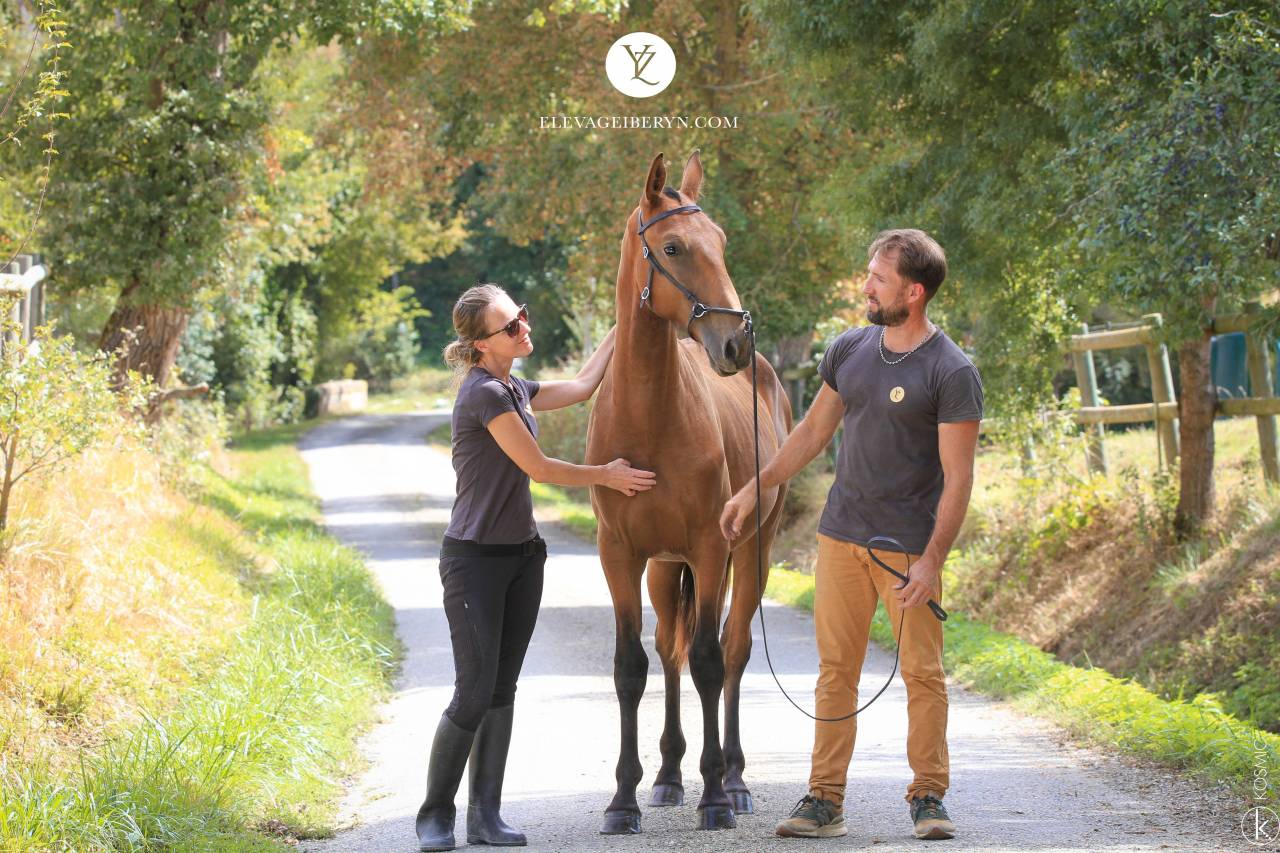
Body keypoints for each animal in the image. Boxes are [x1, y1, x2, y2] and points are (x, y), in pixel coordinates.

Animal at [585, 151, 793, 834]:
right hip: (665, 566)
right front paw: (624, 800)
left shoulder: (709, 546)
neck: (651, 416)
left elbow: (709, 661)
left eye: (721, 243)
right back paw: (670, 776)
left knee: (730, 651)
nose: (736, 343)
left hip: (749, 553)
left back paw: (733, 778)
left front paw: (716, 797)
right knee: (670, 653)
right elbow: (632, 667)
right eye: (673, 247)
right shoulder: (621, 555)